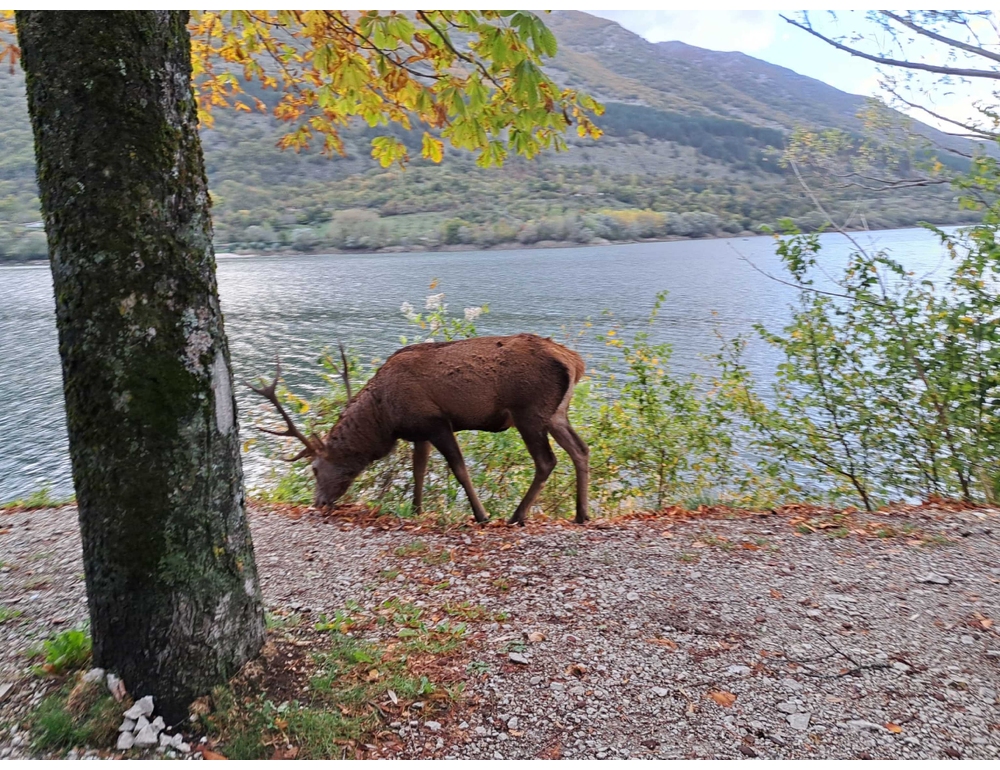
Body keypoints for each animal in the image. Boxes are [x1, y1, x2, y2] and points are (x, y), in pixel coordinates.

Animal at [247, 334, 590, 525]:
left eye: (315, 469)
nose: (317, 502)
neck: (385, 418)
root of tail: (575, 362)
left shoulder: (437, 422)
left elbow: (459, 469)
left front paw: (481, 516)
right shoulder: (418, 431)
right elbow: (419, 470)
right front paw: (415, 509)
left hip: (529, 411)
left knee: (546, 461)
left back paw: (517, 516)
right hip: (556, 413)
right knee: (581, 450)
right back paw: (581, 514)